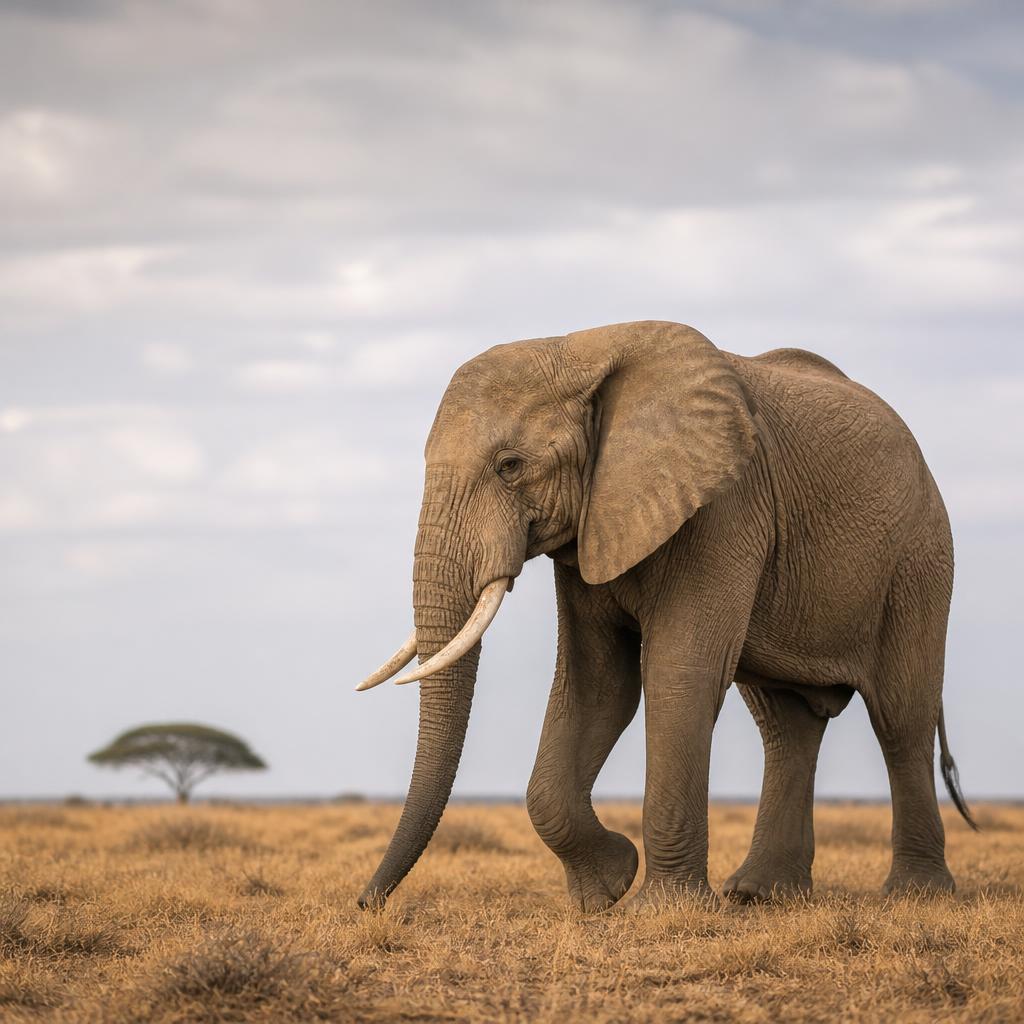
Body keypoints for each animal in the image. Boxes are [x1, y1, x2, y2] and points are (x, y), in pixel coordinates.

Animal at [356, 320, 975, 912]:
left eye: (510, 466)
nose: (366, 901)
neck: (579, 348)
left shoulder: (724, 507)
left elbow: (679, 675)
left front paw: (661, 907)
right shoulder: (594, 526)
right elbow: (599, 686)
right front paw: (607, 889)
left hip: (918, 560)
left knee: (900, 716)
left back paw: (915, 896)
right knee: (786, 727)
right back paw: (760, 896)